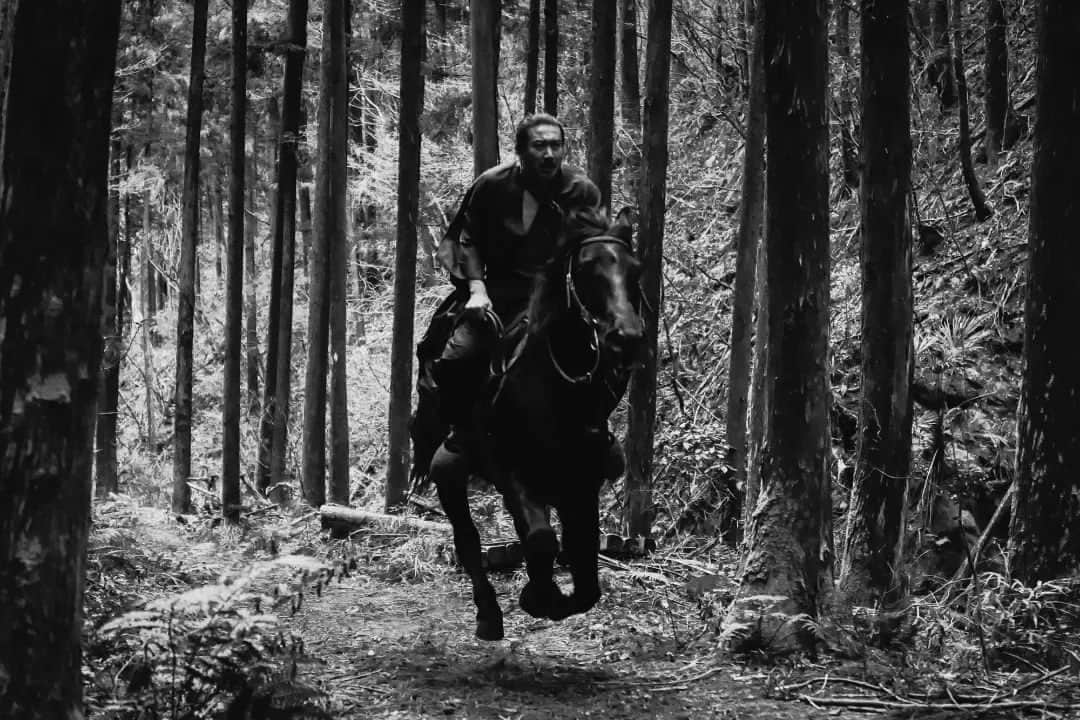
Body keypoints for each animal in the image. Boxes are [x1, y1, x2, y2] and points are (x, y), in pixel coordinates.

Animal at [408, 208, 643, 643]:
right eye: (587, 270)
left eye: (634, 271)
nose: (628, 337)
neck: (552, 393)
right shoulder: (511, 474)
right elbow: (540, 540)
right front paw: (537, 597)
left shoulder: (580, 486)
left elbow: (586, 577)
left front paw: (550, 595)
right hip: (449, 473)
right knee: (468, 540)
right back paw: (488, 615)